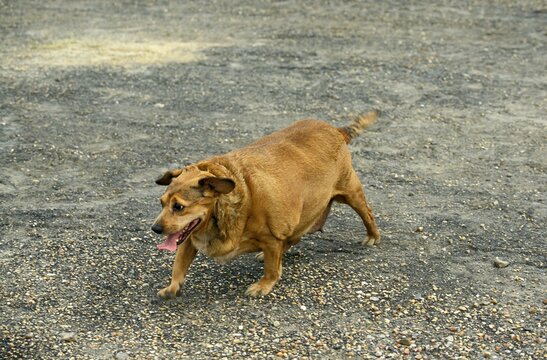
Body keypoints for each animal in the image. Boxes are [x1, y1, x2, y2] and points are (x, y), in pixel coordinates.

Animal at [150, 110, 382, 298]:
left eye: (178, 207)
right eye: (161, 203)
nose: (155, 229)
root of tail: (336, 130)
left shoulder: (271, 236)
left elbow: (271, 269)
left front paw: (263, 285)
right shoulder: (188, 238)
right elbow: (179, 265)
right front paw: (172, 287)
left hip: (351, 192)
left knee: (367, 214)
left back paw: (372, 236)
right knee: (295, 236)